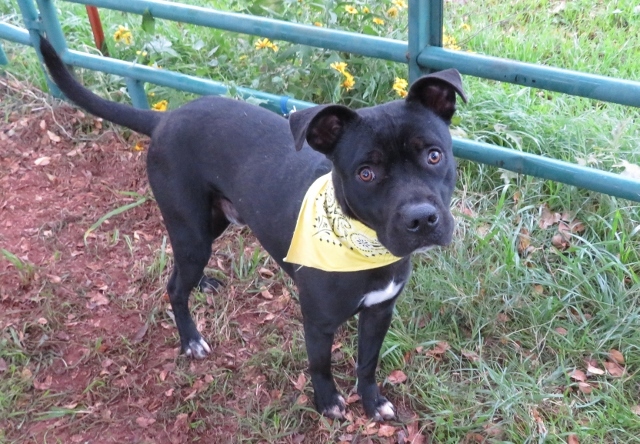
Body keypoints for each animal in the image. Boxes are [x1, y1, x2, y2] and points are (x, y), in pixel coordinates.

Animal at [40, 37, 468, 420]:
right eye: (366, 173)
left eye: (434, 155)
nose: (422, 219)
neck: (363, 248)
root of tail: (165, 117)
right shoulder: (318, 322)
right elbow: (320, 365)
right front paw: (328, 403)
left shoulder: (380, 312)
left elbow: (367, 363)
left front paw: (372, 402)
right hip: (191, 230)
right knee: (175, 286)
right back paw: (191, 340)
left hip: (210, 225)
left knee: (183, 272)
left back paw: (204, 284)